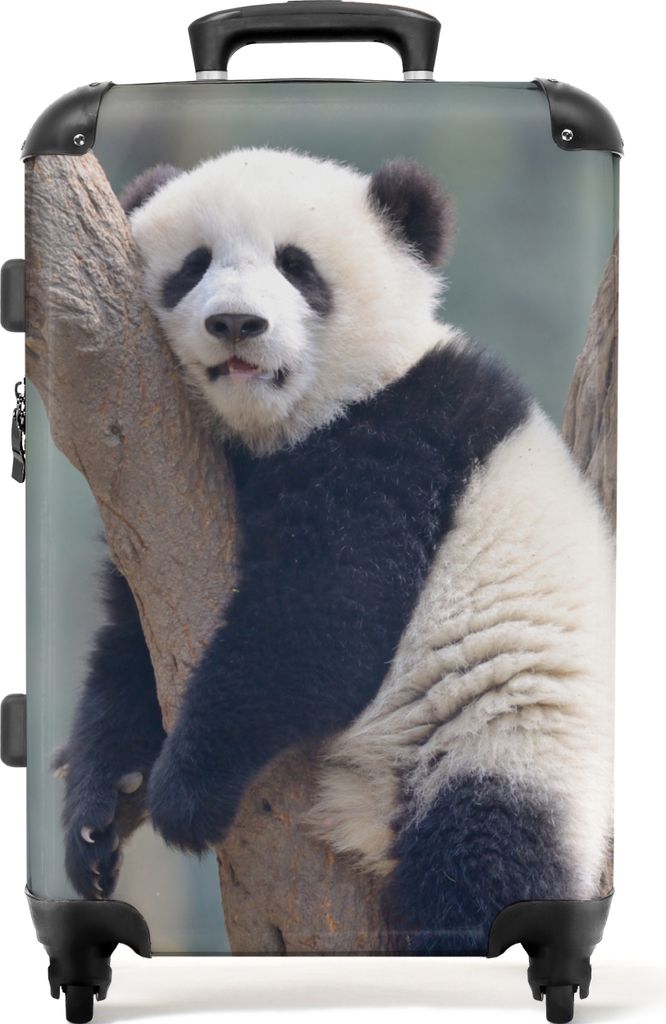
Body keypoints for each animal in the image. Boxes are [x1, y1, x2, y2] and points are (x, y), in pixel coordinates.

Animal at [56, 147, 614, 955]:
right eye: (194, 265)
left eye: (298, 267)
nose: (235, 323)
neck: (280, 427)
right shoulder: (156, 506)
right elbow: (131, 638)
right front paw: (100, 808)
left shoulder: (402, 443)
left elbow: (320, 623)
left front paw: (184, 792)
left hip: (507, 739)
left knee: (485, 861)